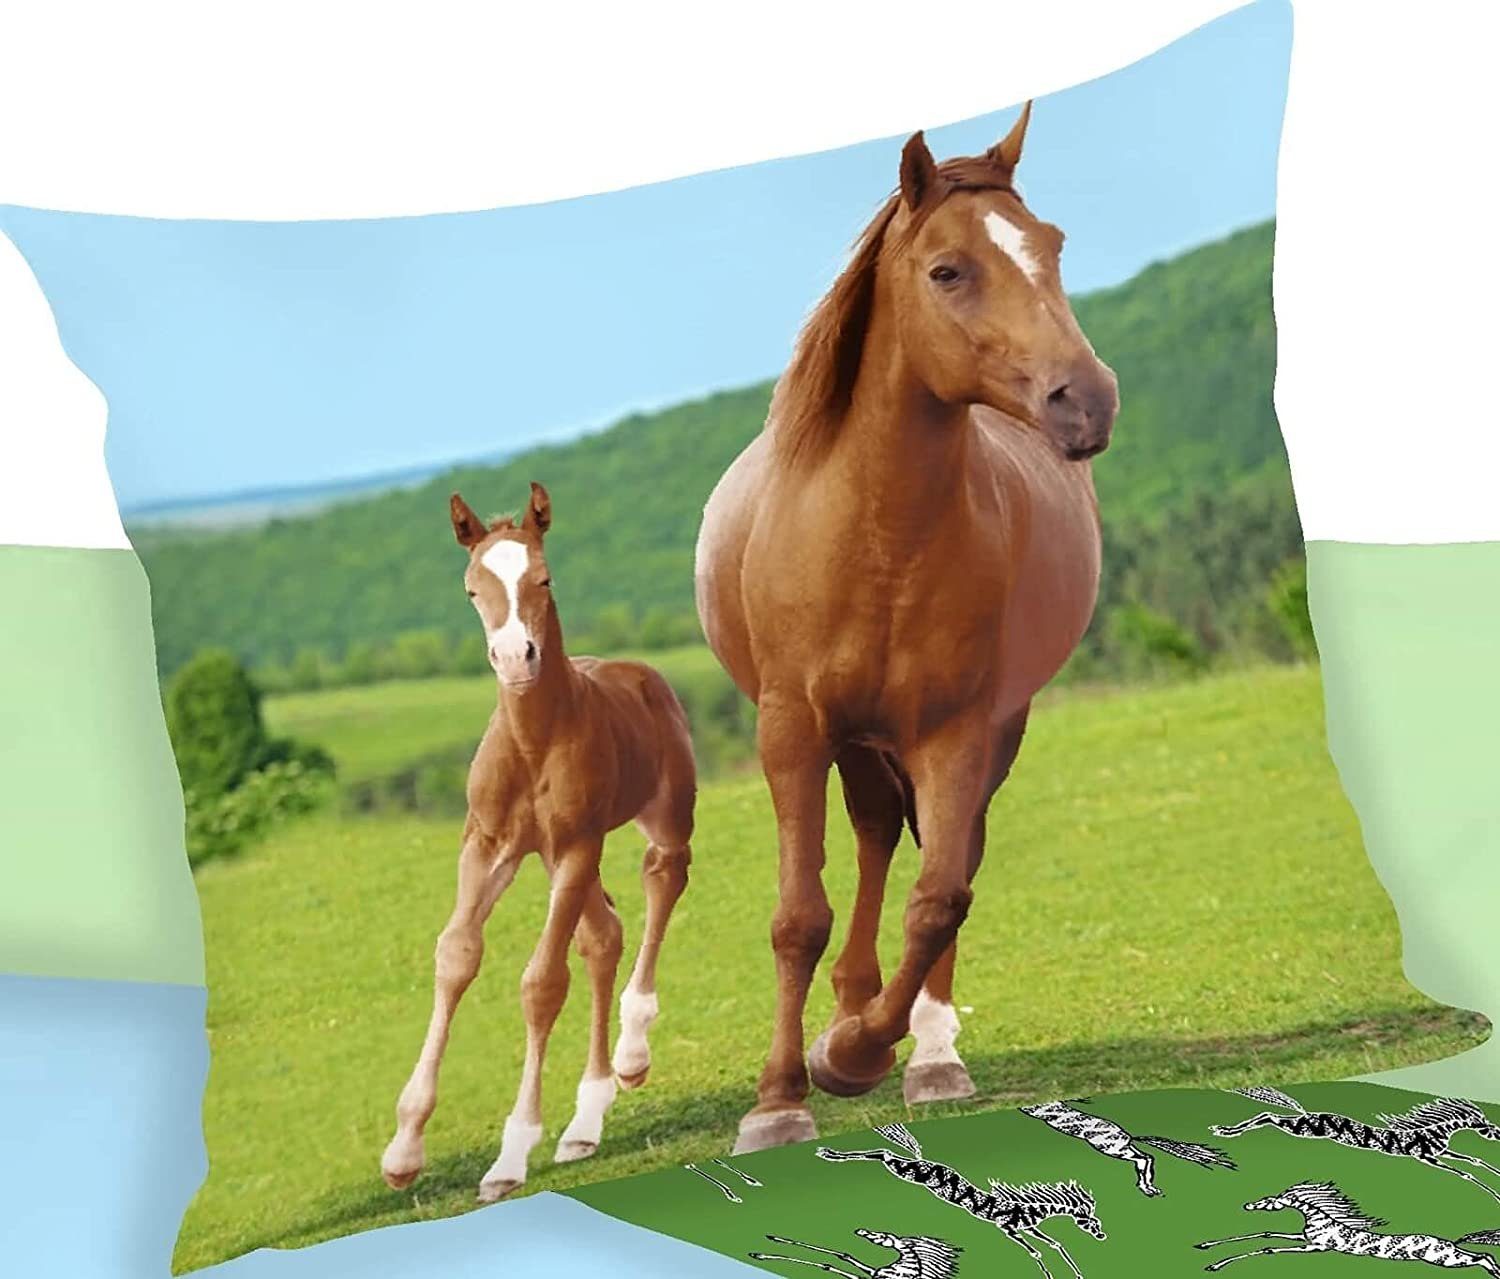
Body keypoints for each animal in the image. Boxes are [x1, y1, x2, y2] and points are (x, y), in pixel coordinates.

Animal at [380, 482, 697, 1203]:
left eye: (543, 578)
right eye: (472, 588)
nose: (514, 657)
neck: (533, 741)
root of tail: (642, 674)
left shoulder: (577, 844)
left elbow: (541, 983)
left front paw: (512, 1153)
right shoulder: (488, 845)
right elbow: (457, 955)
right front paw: (404, 1148)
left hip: (656, 822)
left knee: (663, 878)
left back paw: (631, 1054)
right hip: (555, 858)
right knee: (603, 935)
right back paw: (586, 1119)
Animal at [694, 102, 1118, 1152]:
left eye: (1052, 245)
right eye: (948, 271)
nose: (1085, 401)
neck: (876, 534)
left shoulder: (957, 731)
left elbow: (939, 899)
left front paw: (860, 1054)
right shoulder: (792, 731)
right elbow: (798, 914)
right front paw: (780, 1095)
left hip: (978, 733)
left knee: (938, 856)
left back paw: (916, 1045)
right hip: (852, 739)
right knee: (876, 833)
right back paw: (851, 1006)